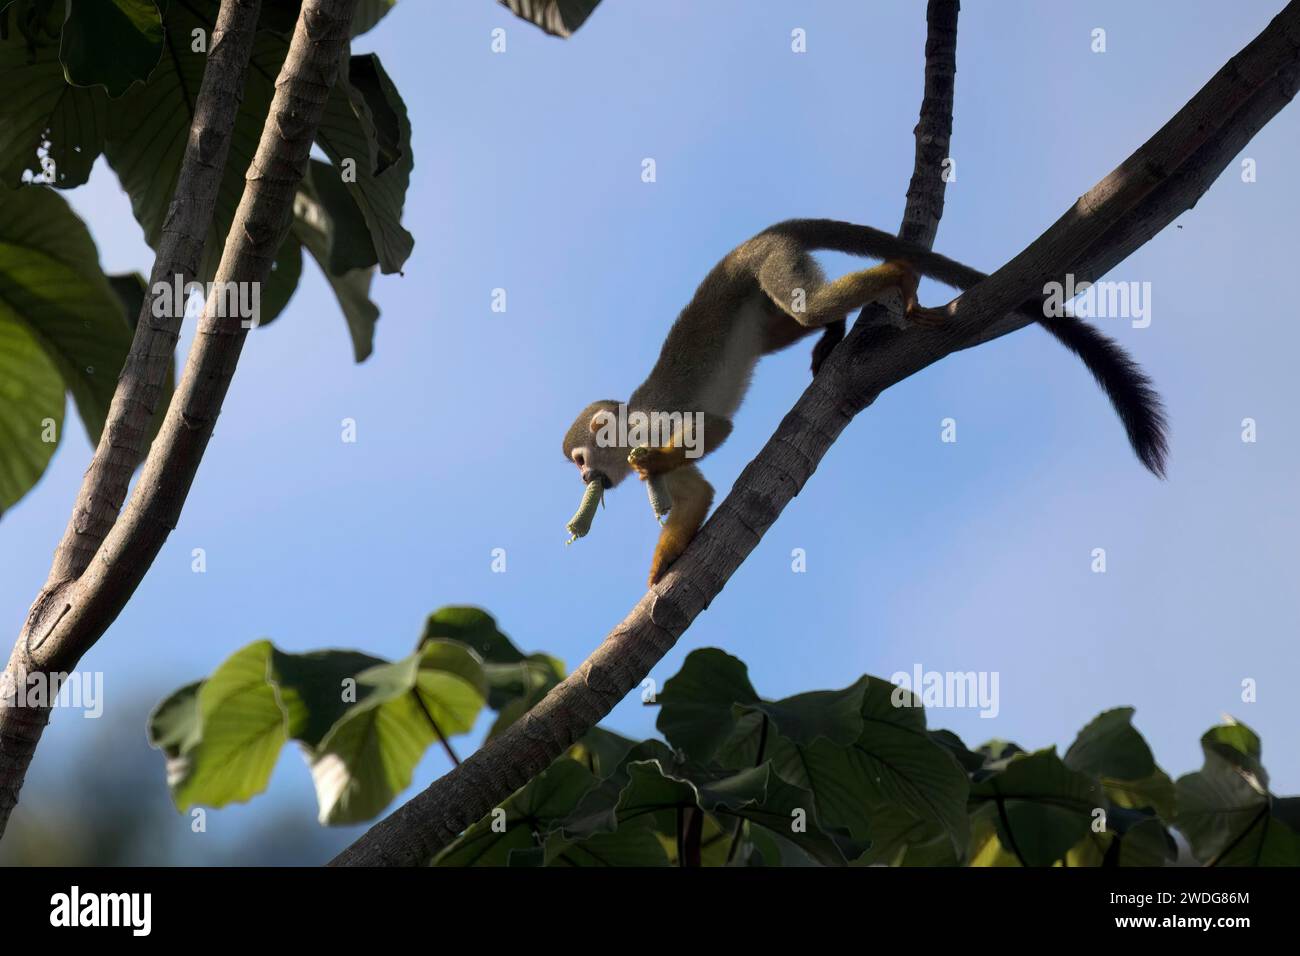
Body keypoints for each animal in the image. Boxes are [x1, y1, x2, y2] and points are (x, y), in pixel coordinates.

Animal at [561, 221, 1170, 587]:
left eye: (580, 461)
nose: (586, 477)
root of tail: (752, 239)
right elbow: (696, 494)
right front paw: (664, 565)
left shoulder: (650, 422)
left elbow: (712, 427)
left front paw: (657, 465)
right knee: (788, 322)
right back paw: (836, 329)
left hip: (769, 261)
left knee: (805, 305)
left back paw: (896, 278)